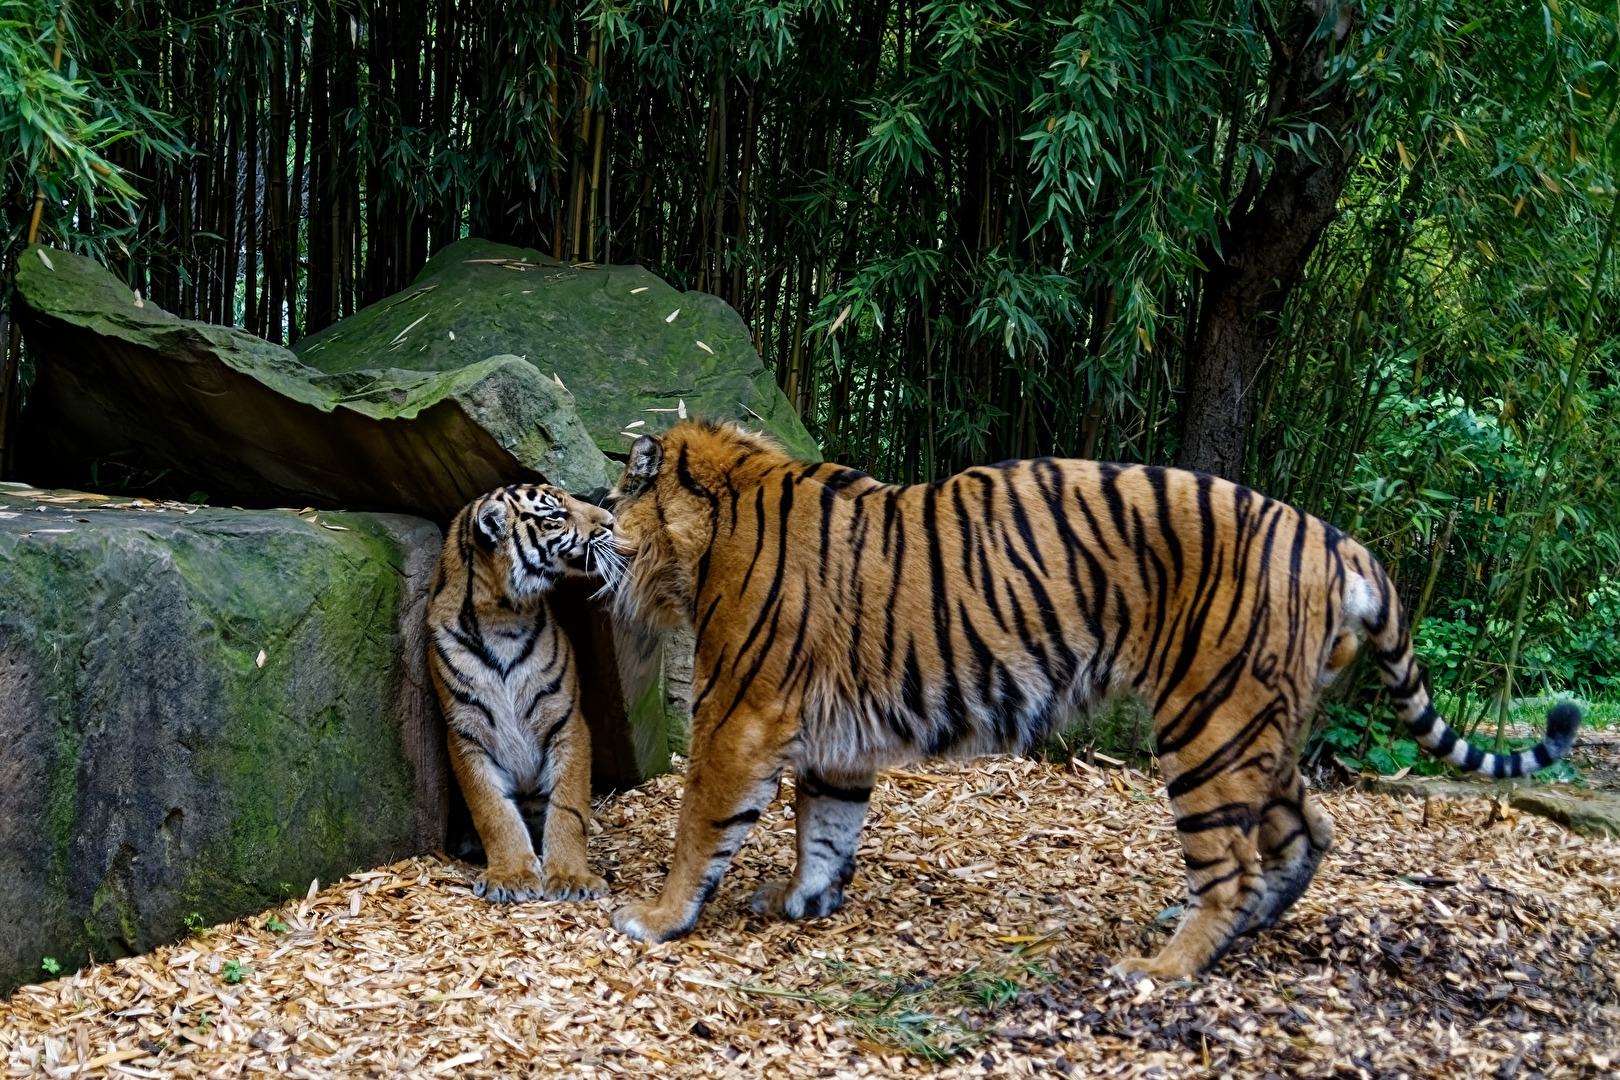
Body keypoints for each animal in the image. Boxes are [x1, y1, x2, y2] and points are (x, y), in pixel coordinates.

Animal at [427, 483, 625, 904]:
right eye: (557, 516)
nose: (612, 522)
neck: (503, 617)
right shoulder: (467, 733)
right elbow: (493, 810)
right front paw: (512, 875)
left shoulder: (566, 722)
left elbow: (569, 808)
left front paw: (572, 878)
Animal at [600, 419, 1580, 978]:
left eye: (614, 496)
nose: (592, 520)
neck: (711, 528)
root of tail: (1334, 537)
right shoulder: (836, 736)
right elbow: (828, 825)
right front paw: (804, 901)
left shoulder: (739, 714)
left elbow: (701, 826)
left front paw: (655, 918)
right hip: (1262, 724)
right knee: (1309, 827)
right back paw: (1245, 931)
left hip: (1207, 722)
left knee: (1235, 863)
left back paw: (1165, 967)